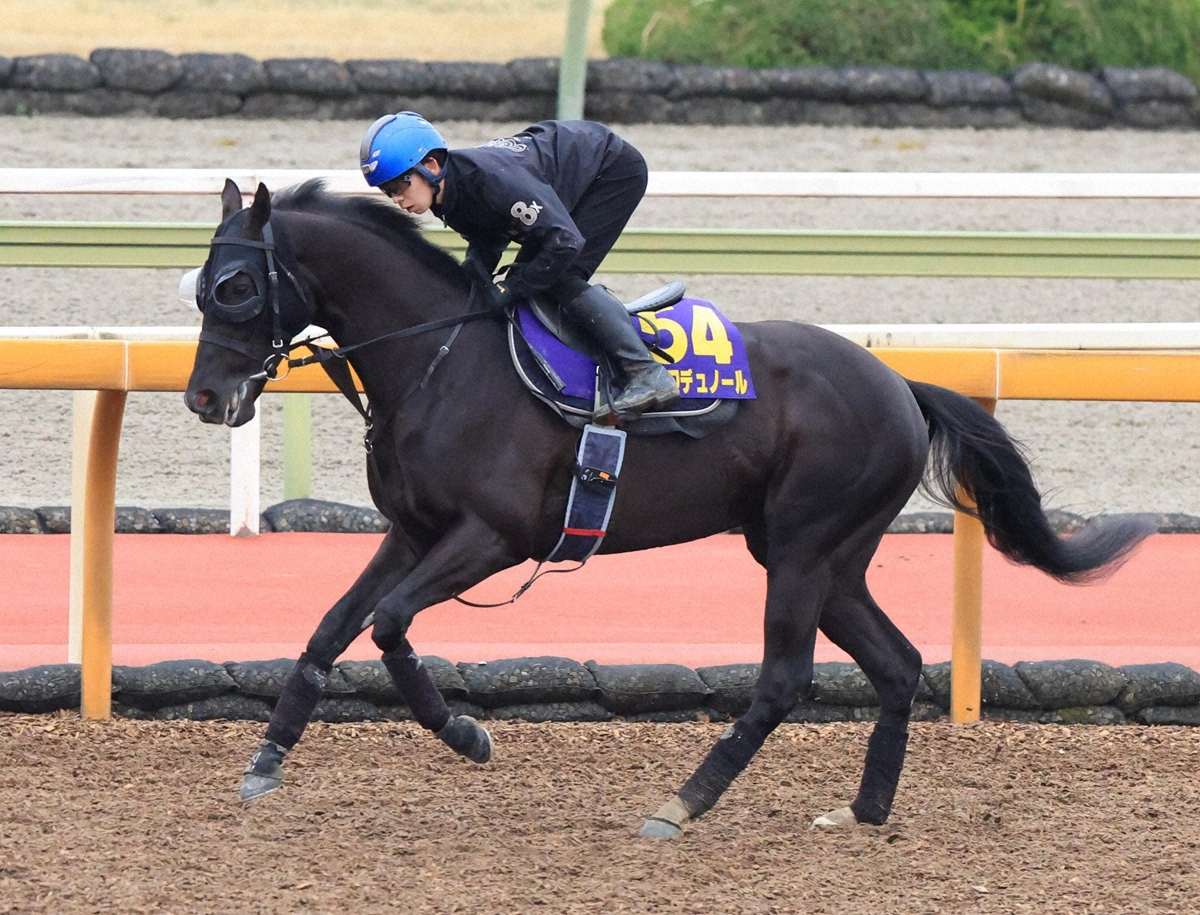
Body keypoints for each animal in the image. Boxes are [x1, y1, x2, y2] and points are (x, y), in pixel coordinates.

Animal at [184, 178, 1152, 838]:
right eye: (198, 286)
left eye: (235, 287)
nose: (202, 397)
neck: (441, 360)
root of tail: (899, 383)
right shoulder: (413, 530)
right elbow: (330, 627)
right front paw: (266, 757)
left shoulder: (491, 536)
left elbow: (386, 624)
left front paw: (465, 731)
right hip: (828, 556)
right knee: (898, 662)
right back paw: (864, 808)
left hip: (803, 549)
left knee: (784, 678)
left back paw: (684, 801)